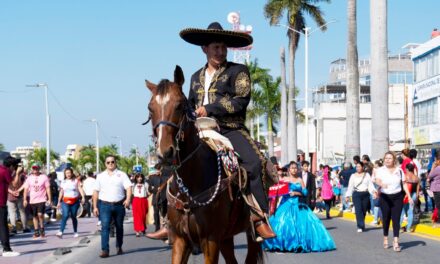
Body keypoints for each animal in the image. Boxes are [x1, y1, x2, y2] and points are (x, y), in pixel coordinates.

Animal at [144, 64, 262, 264]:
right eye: (150, 108)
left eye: (180, 105)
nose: (164, 153)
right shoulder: (180, 240)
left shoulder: (210, 240)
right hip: (226, 237)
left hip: (250, 233)